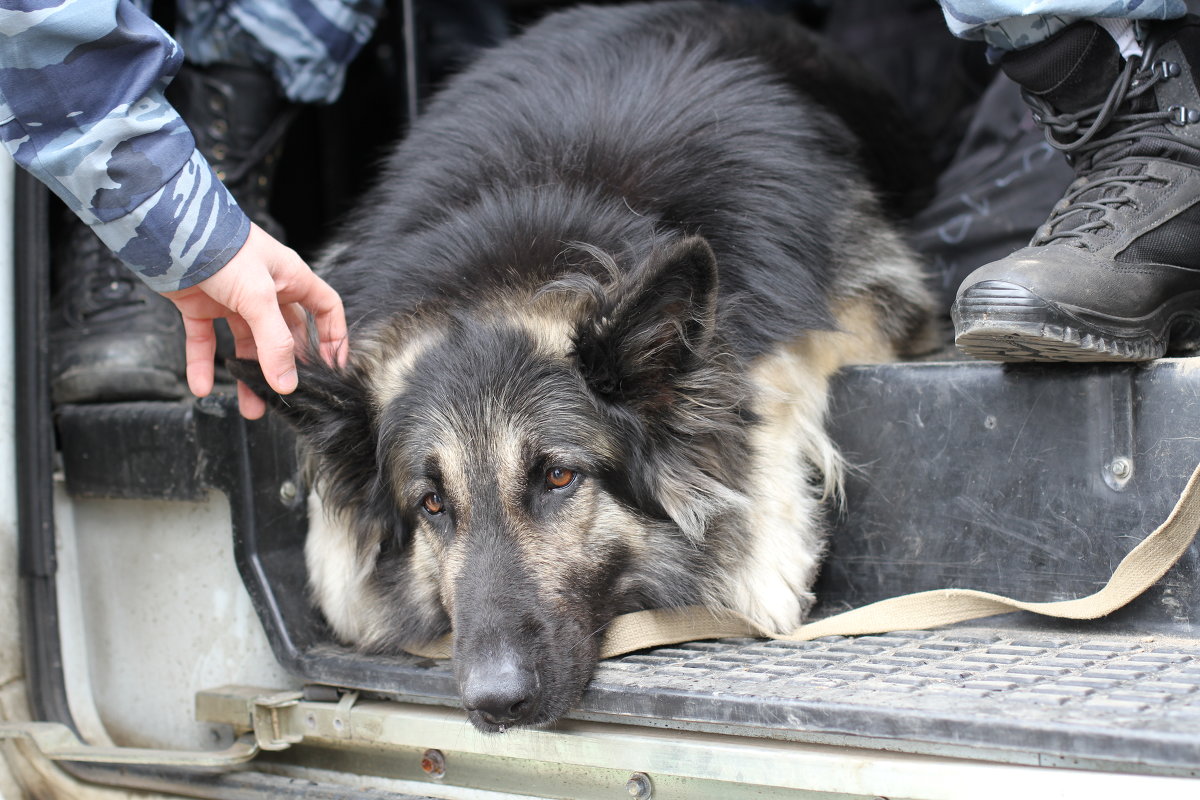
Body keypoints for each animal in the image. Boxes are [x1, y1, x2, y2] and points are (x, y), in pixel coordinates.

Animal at [229, 0, 931, 734]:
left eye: (560, 477)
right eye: (431, 504)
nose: (495, 703)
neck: (528, 234)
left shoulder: (871, 299)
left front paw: (763, 534)